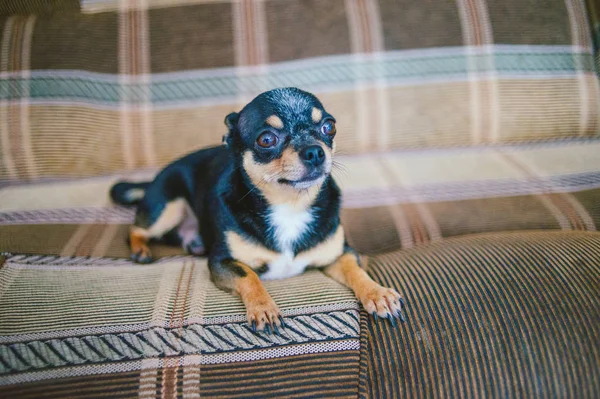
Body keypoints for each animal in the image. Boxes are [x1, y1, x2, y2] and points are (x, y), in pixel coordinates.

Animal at [110, 88, 406, 334]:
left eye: (329, 126)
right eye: (266, 139)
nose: (315, 151)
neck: (289, 206)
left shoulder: (340, 254)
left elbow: (357, 271)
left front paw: (377, 294)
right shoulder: (222, 262)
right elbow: (249, 275)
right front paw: (264, 308)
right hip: (167, 208)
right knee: (134, 229)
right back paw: (140, 250)